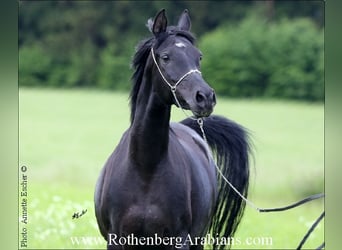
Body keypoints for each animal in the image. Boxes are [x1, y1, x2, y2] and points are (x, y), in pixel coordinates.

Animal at [95, 9, 250, 250]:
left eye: (199, 56)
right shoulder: (117, 240)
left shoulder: (179, 240)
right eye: (166, 56)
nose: (205, 97)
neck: (145, 169)